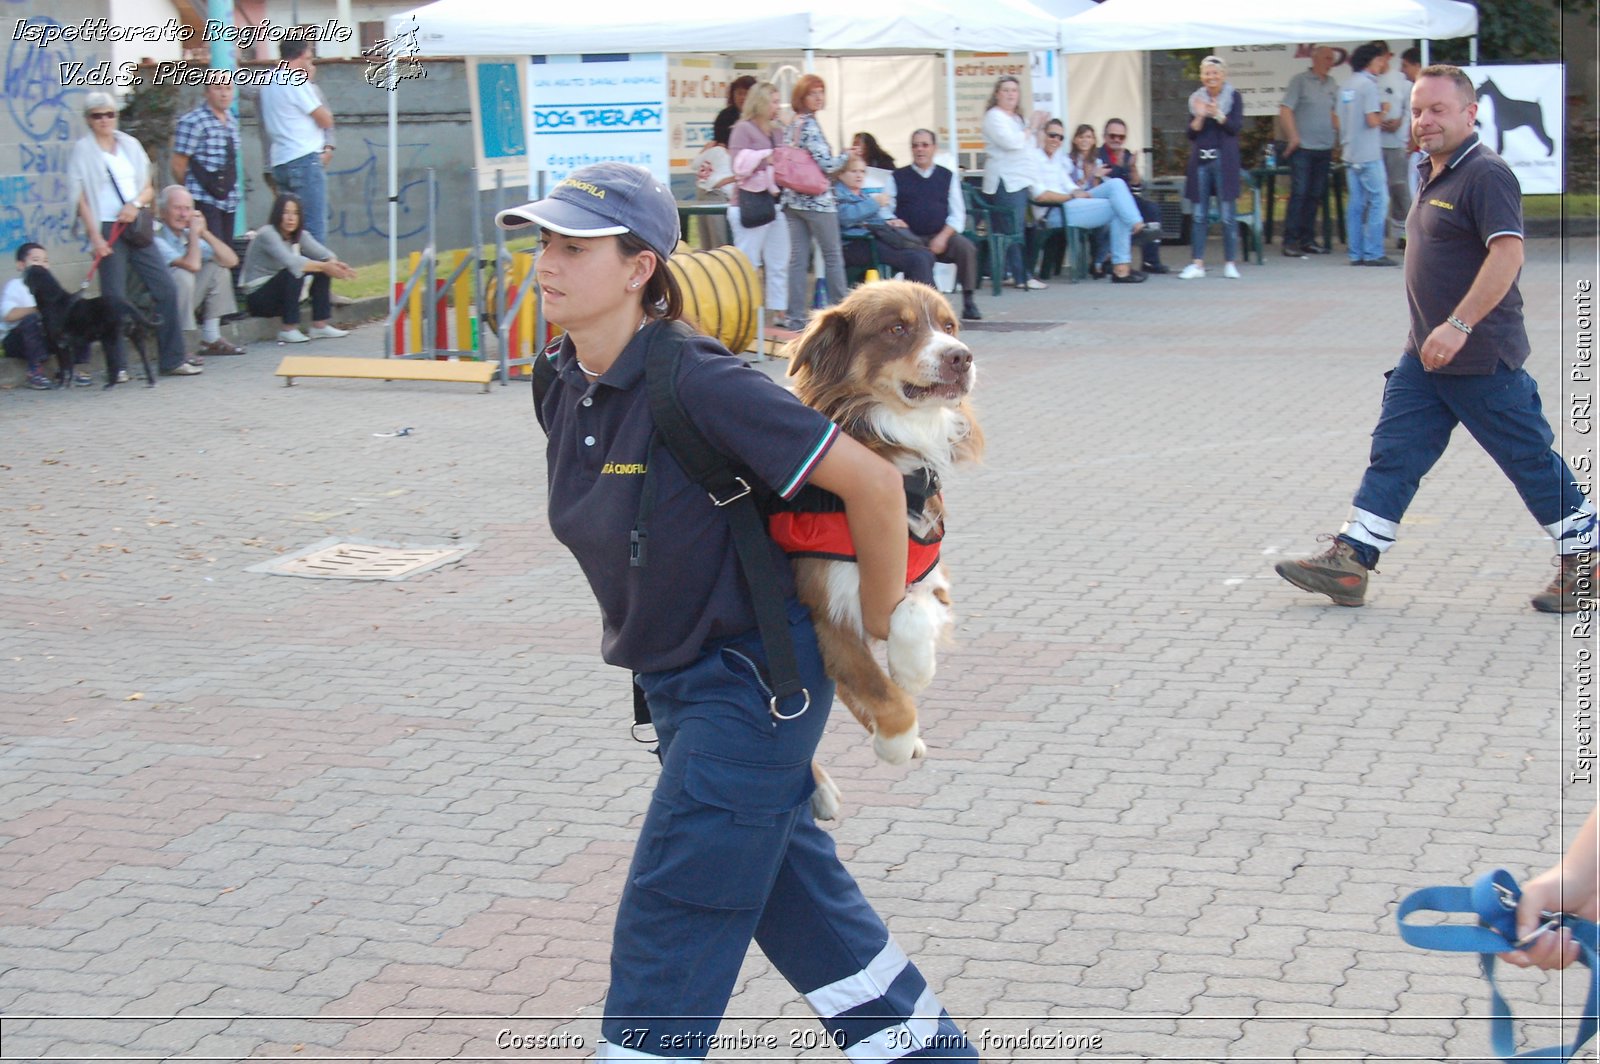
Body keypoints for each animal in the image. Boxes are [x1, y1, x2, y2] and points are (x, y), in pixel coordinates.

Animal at [23, 264, 157, 388]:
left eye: (28, 271)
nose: (22, 272)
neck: (53, 302)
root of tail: (125, 305)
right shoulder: (66, 345)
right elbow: (69, 367)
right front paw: (68, 383)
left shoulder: (58, 344)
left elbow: (64, 367)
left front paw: (61, 384)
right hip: (135, 335)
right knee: (144, 358)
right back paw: (151, 381)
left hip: (110, 339)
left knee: (114, 362)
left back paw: (110, 384)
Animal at [780, 278, 979, 816]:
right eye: (897, 329)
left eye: (949, 325)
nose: (962, 357)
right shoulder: (824, 604)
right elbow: (876, 689)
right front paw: (895, 738)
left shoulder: (931, 569)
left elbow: (912, 609)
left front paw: (914, 669)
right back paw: (821, 787)